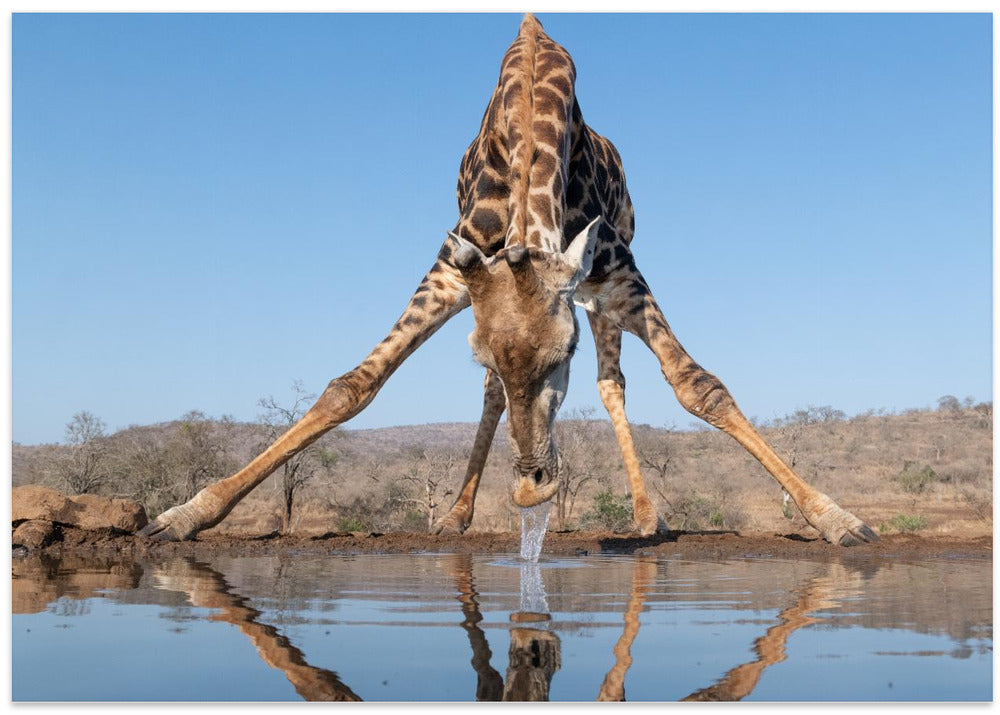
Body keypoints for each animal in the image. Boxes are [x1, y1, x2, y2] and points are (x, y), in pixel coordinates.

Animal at [140, 14, 877, 547]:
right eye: (483, 352)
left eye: (564, 352)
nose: (531, 486)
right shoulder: (453, 266)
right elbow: (352, 386)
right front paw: (184, 514)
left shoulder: (615, 268)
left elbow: (701, 387)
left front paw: (837, 518)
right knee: (504, 398)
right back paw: (457, 516)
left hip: (603, 289)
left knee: (614, 384)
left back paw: (647, 516)